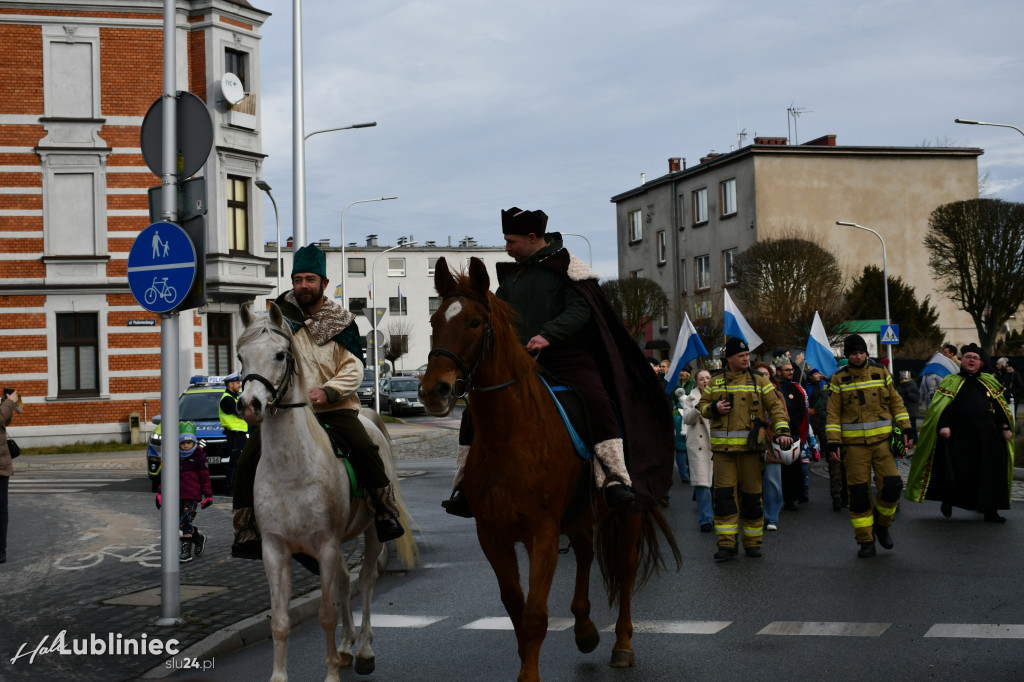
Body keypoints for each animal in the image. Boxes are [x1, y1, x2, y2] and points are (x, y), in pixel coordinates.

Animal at [237, 303, 417, 679]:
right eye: (240, 356)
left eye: (280, 354)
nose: (249, 405)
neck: (291, 469)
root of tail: (366, 414)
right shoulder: (275, 551)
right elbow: (280, 622)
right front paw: (280, 676)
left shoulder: (327, 545)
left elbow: (326, 614)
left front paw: (331, 672)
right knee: (346, 582)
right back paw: (347, 647)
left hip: (372, 532)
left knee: (365, 581)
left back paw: (362, 651)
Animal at [415, 256, 679, 679]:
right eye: (434, 320)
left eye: (474, 322)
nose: (433, 391)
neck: (511, 434)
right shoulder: (492, 535)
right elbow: (515, 607)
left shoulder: (542, 533)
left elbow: (536, 615)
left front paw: (530, 673)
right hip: (581, 513)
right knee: (586, 553)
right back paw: (585, 628)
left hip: (627, 513)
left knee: (625, 568)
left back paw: (622, 644)